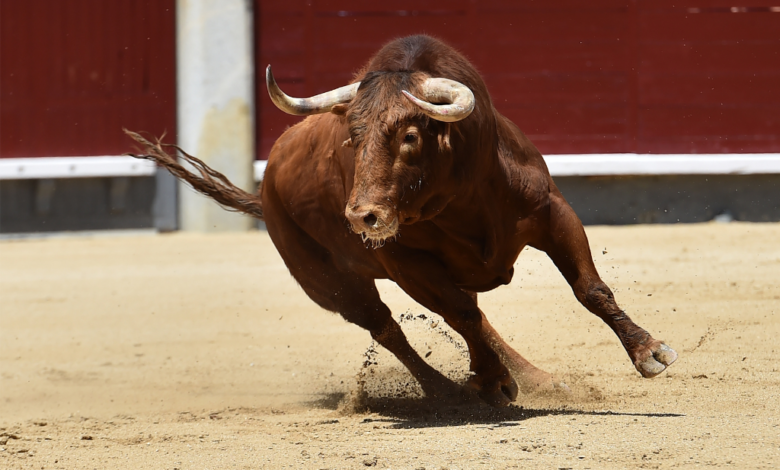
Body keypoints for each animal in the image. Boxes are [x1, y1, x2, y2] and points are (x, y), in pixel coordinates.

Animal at [128, 34, 676, 408]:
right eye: (351, 137)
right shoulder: (405, 261)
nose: (360, 216)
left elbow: (590, 289)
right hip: (331, 283)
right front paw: (489, 381)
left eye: (410, 135)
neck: (463, 193)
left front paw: (649, 351)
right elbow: (460, 316)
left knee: (471, 316)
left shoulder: (552, 212)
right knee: (389, 327)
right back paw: (449, 390)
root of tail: (266, 187)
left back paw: (536, 379)